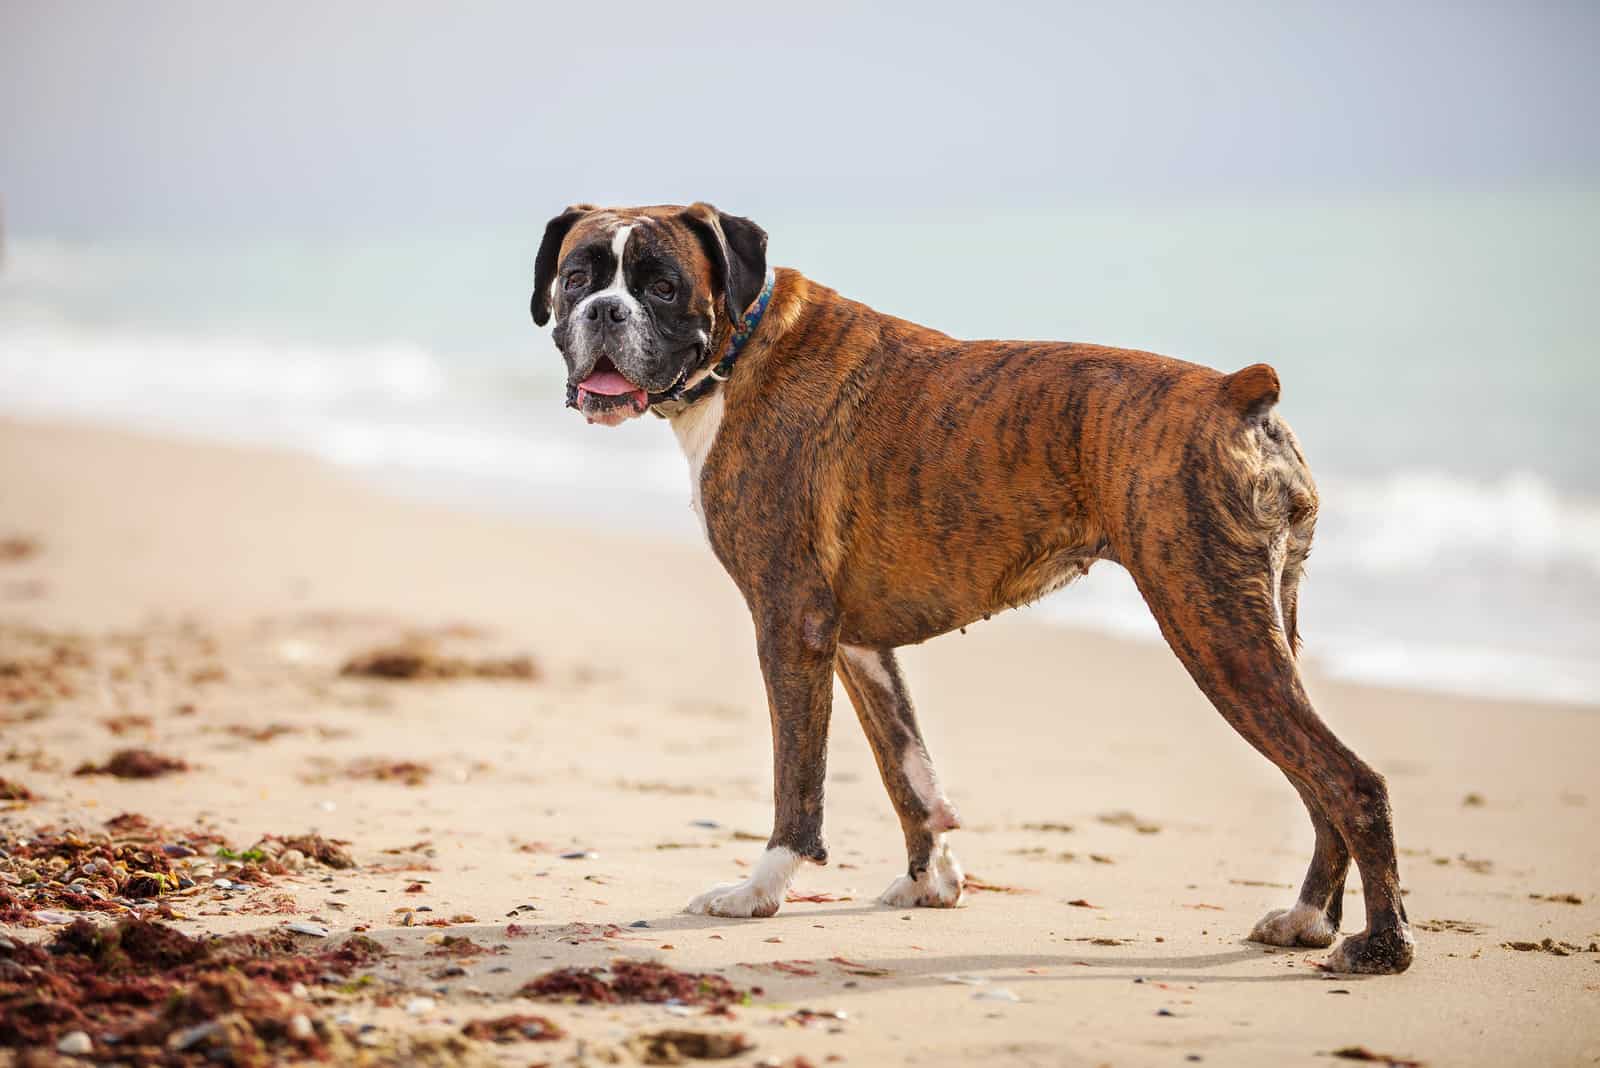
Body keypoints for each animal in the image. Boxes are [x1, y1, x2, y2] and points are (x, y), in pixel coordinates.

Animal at [528, 202, 1414, 978]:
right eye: (577, 278)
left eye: (662, 286)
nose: (605, 311)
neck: (741, 347)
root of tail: (1236, 389)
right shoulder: (856, 643)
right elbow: (907, 770)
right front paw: (933, 881)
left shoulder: (790, 625)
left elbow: (799, 782)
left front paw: (761, 890)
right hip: (1264, 627)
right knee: (1316, 782)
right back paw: (1306, 918)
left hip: (1212, 628)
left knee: (1348, 781)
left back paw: (1380, 947)